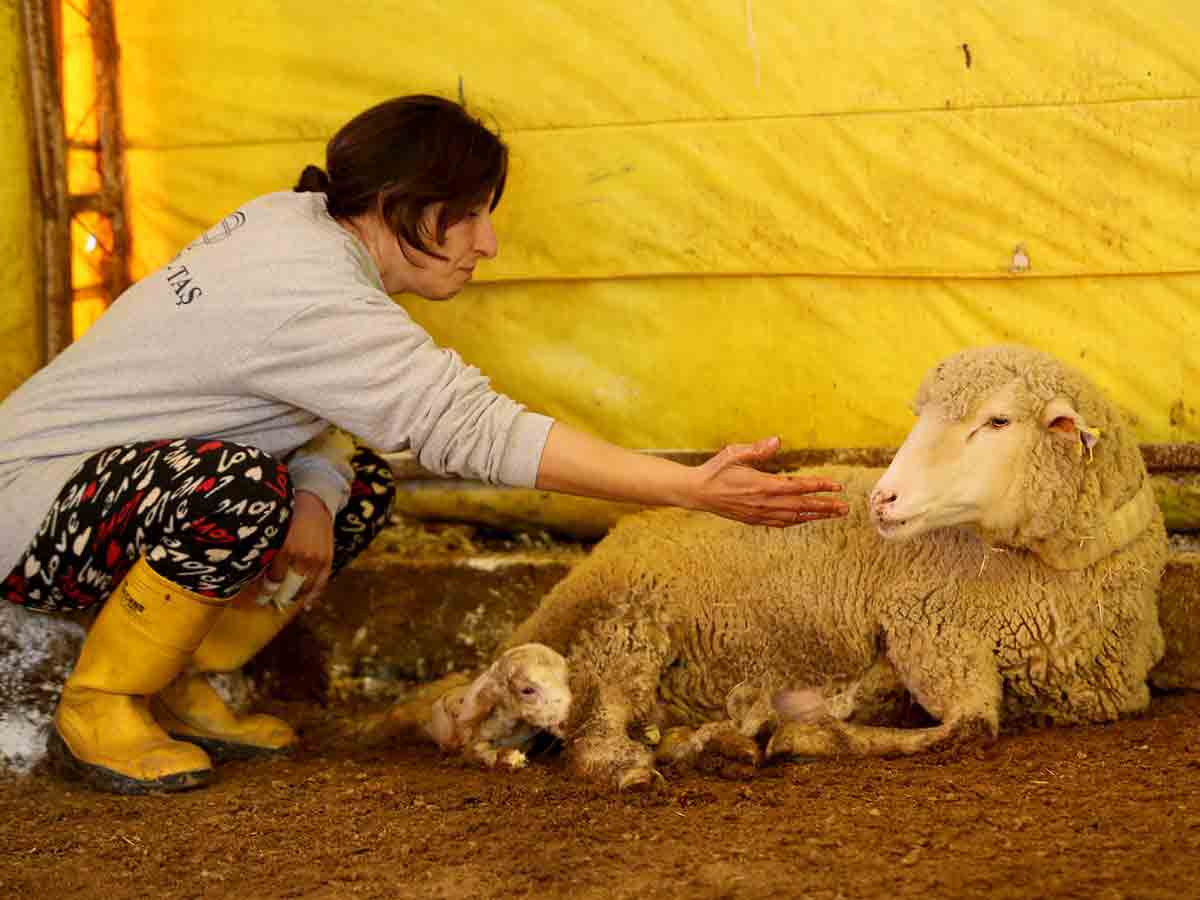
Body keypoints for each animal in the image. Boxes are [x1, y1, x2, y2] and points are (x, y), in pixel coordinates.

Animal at [484, 345, 1161, 787]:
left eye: (997, 421)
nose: (882, 500)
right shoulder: (927, 629)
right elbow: (970, 727)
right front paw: (805, 735)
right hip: (626, 623)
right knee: (590, 736)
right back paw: (645, 763)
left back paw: (706, 740)